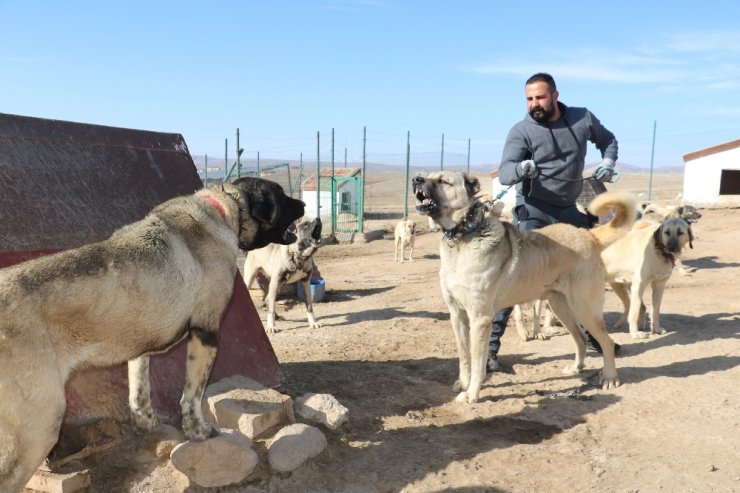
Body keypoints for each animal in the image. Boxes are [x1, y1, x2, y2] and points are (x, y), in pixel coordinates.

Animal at [0, 175, 304, 490]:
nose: (304, 205)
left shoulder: (140, 346)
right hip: (39, 425)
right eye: (281, 194)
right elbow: (192, 396)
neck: (223, 208)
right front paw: (198, 432)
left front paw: (146, 425)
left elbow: (139, 390)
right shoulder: (206, 331)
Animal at [410, 171, 636, 402]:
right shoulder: (457, 315)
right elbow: (464, 356)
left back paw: (610, 377)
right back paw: (576, 368)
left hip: (584, 308)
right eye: (427, 176)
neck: (463, 236)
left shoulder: (480, 318)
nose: (416, 179)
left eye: (443, 181)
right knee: (580, 338)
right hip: (561, 306)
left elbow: (477, 360)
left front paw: (472, 393)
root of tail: (588, 235)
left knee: (606, 342)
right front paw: (463, 383)